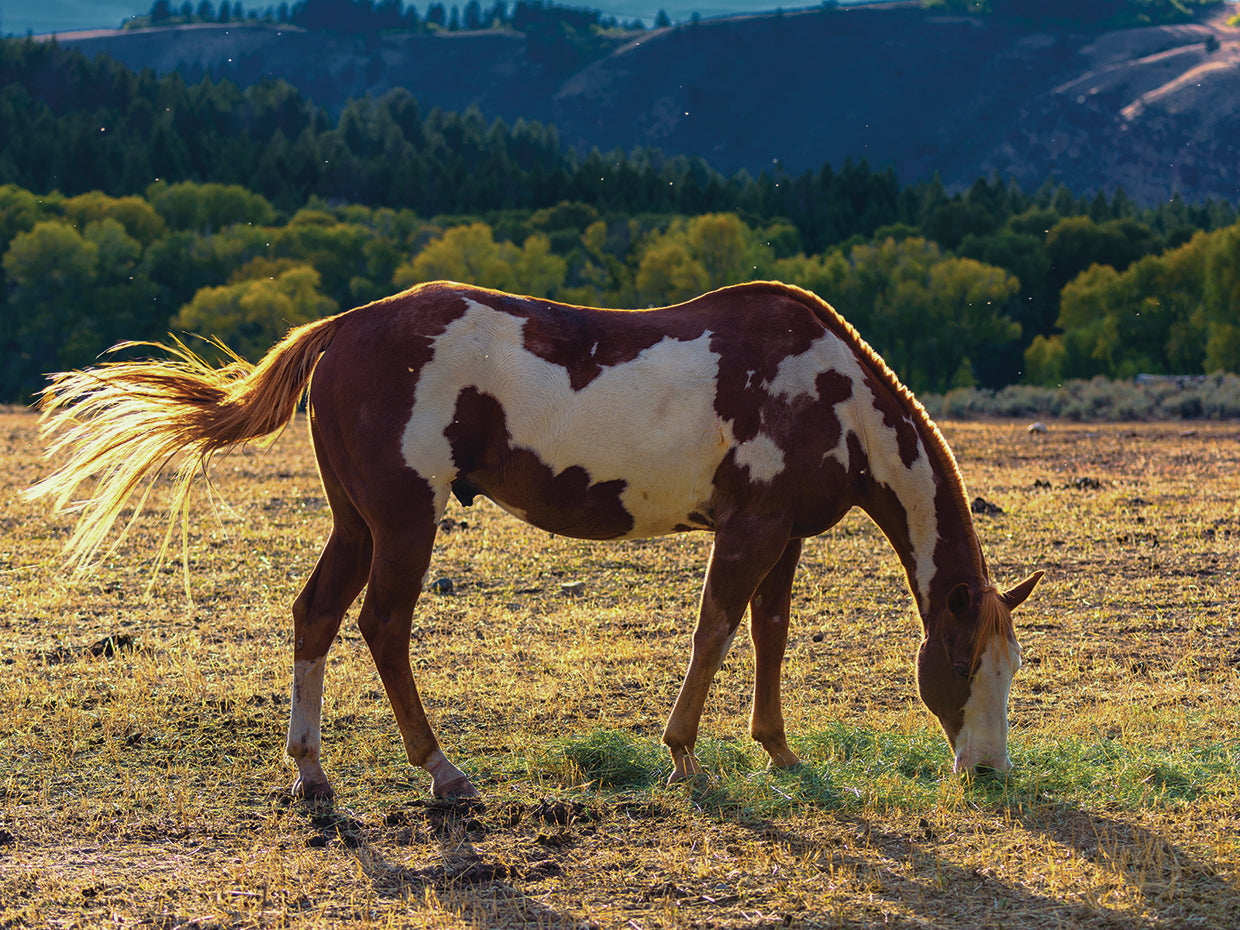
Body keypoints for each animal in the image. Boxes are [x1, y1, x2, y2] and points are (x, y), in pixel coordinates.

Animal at [29, 280, 1042, 801]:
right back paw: (441, 772)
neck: (830, 394)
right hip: (404, 522)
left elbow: (769, 636)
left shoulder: (784, 536)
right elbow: (714, 633)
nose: (988, 769)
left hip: (357, 522)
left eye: (1009, 667)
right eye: (963, 662)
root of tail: (345, 327)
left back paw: (312, 772)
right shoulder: (749, 530)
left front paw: (778, 750)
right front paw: (682, 752)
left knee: (315, 615)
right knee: (383, 628)